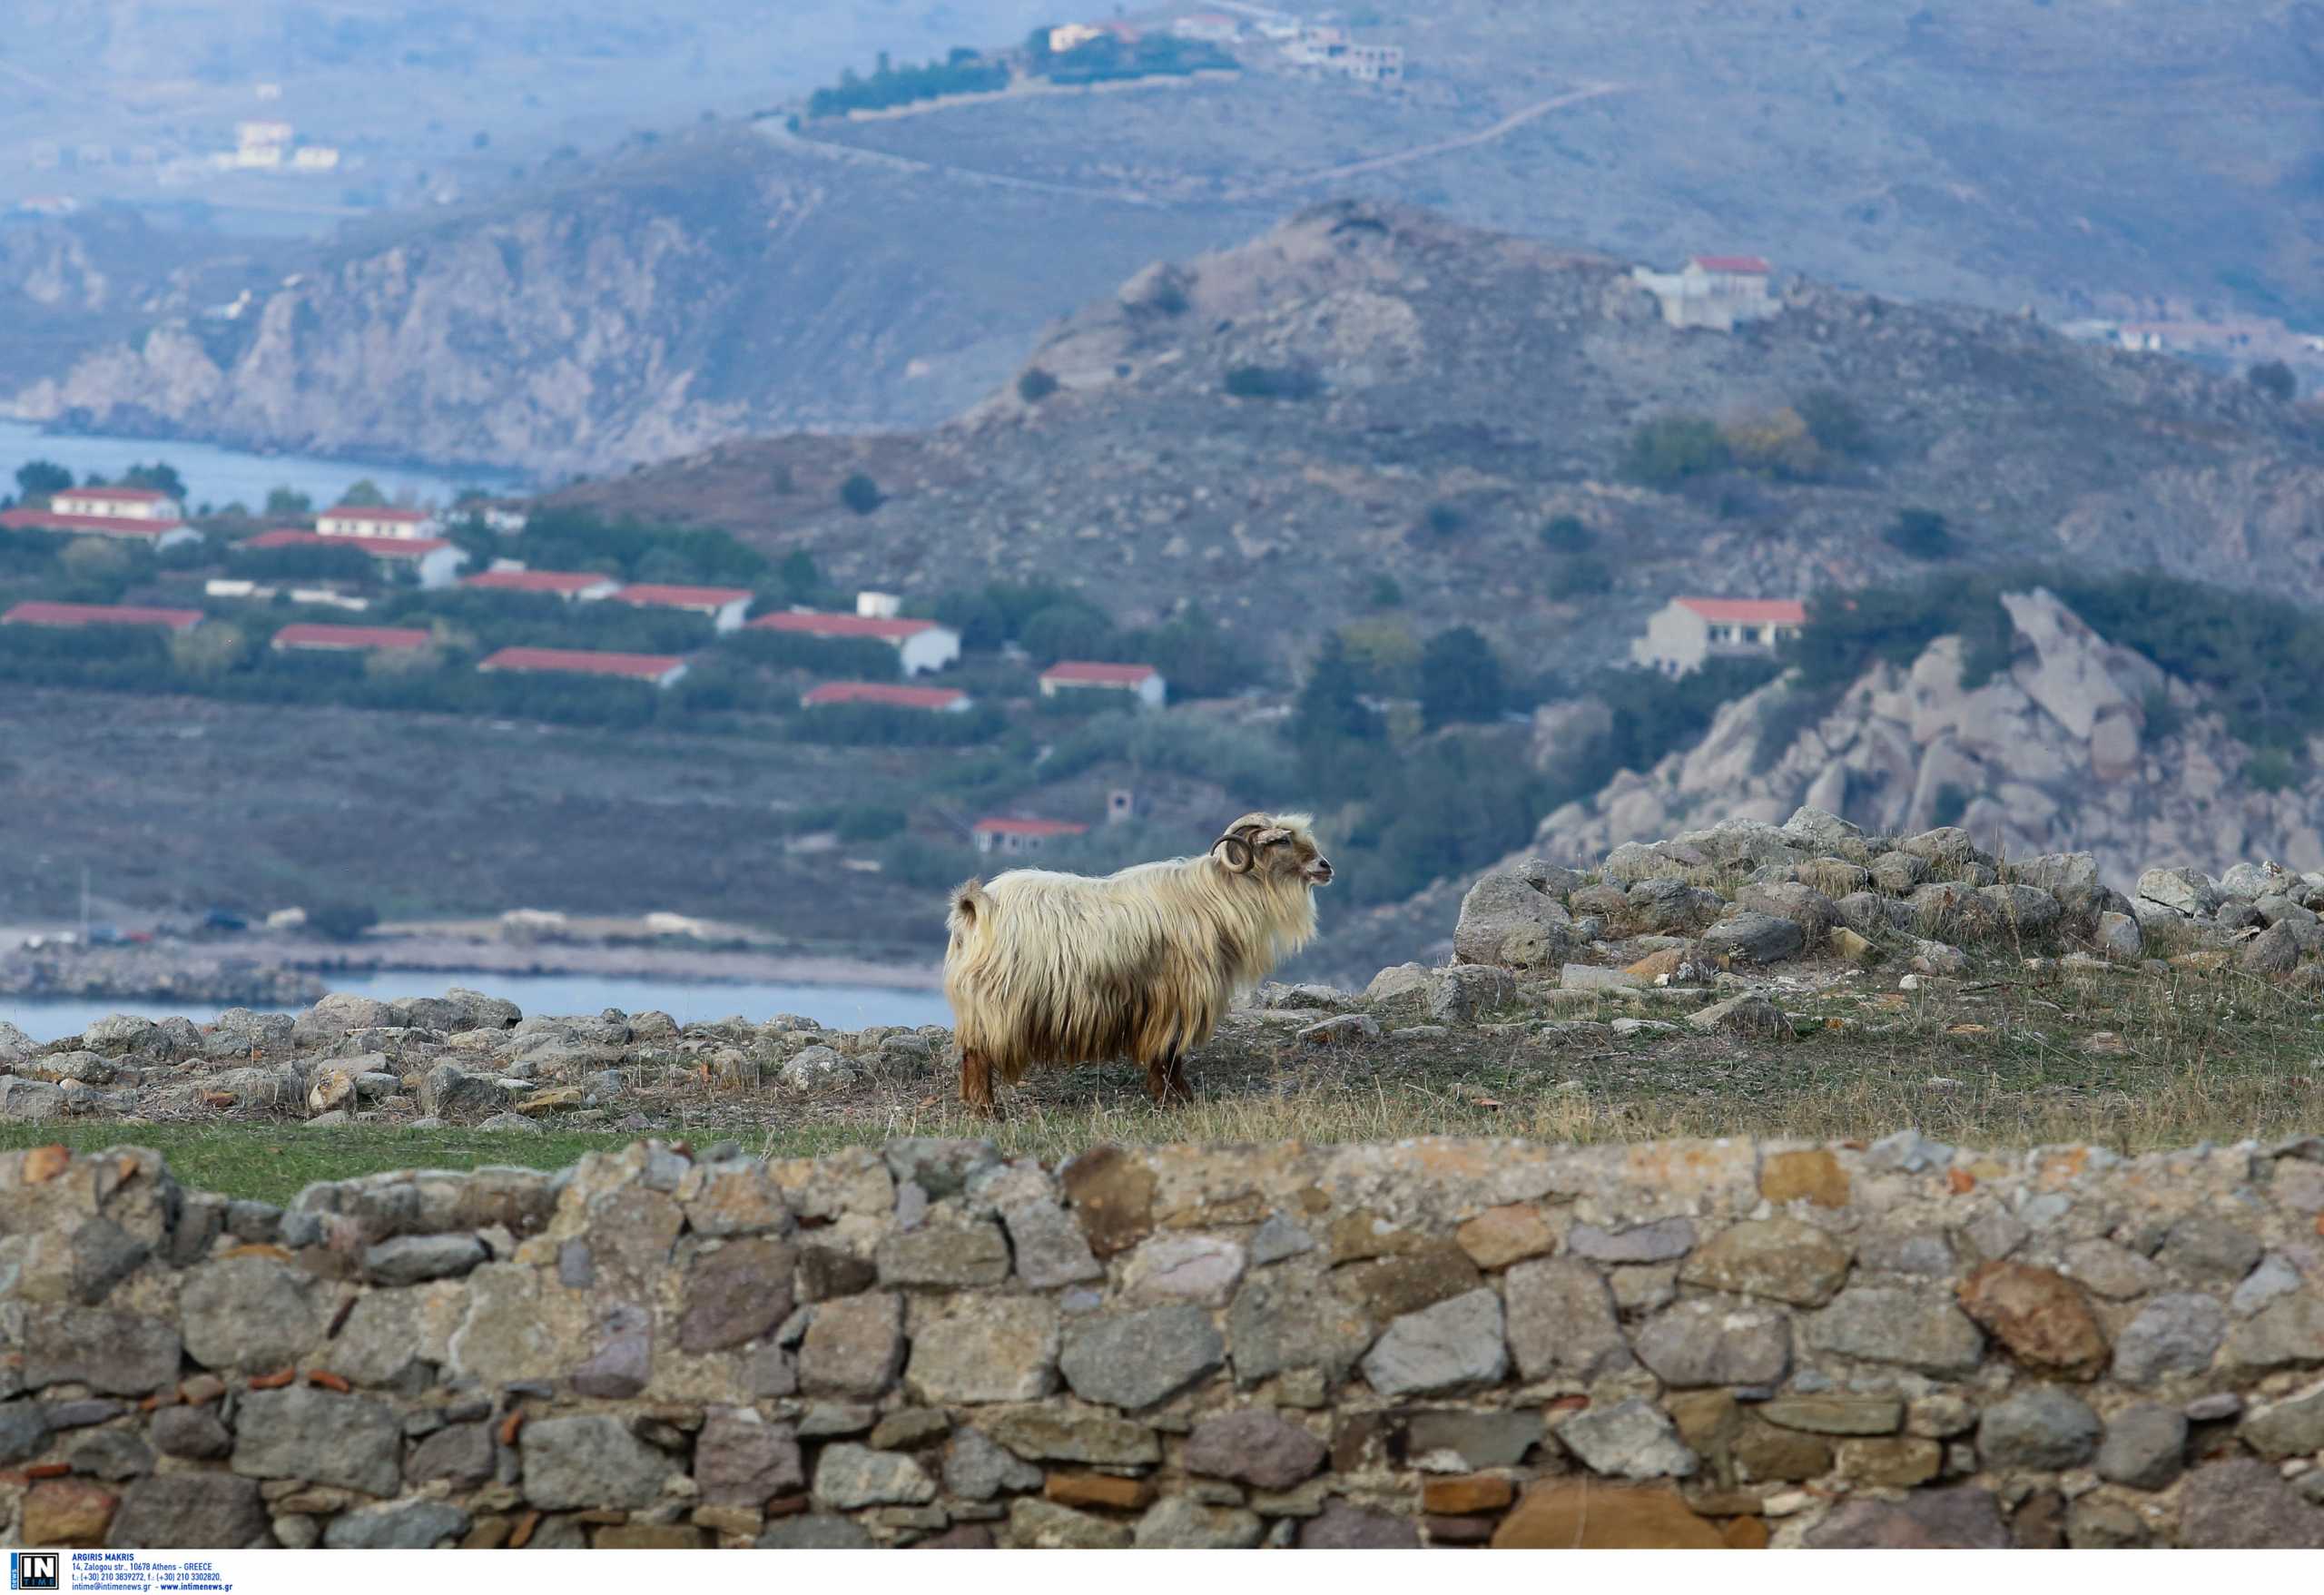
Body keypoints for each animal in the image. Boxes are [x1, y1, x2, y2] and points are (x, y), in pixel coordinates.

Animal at [943, 813, 1338, 1111]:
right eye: (1281, 841)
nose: (1325, 866)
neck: (1216, 896)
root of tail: (977, 905)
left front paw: (1178, 1096)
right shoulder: (1176, 996)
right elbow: (1169, 1051)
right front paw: (1173, 1098)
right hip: (996, 1001)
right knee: (977, 1054)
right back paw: (986, 1110)